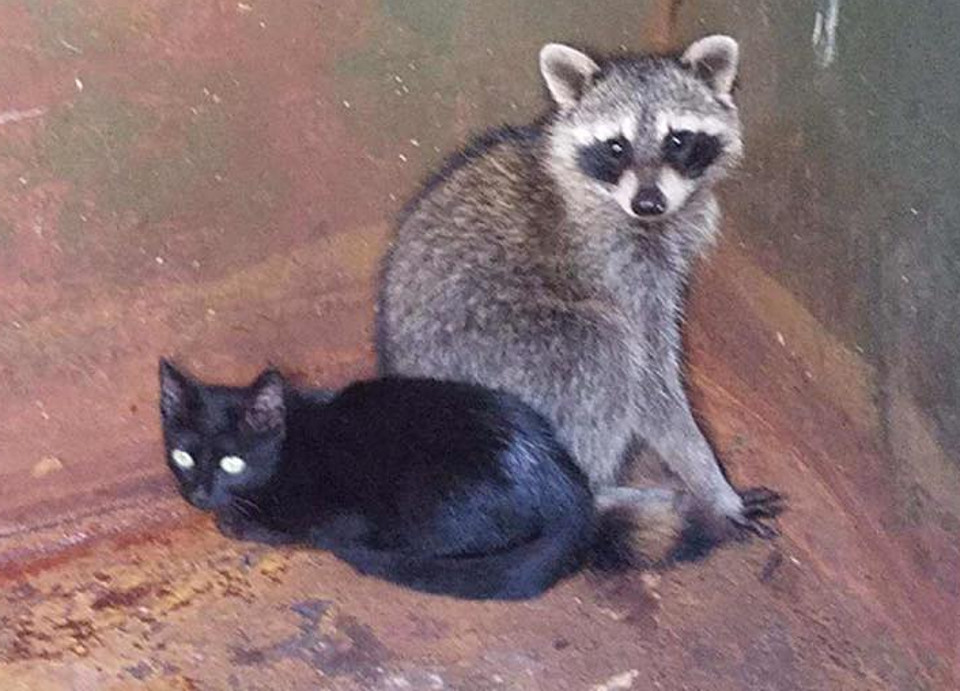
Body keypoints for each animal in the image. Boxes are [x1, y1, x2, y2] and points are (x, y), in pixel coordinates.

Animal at [158, 362, 636, 600]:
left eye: (232, 463)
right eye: (182, 456)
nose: (198, 493)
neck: (287, 448)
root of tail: (572, 488)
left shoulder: (342, 516)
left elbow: (293, 529)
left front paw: (239, 521)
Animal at [376, 35, 780, 560]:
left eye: (677, 140)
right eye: (616, 146)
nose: (648, 203)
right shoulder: (617, 265)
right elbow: (651, 384)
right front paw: (712, 481)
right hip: (508, 355)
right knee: (600, 348)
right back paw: (599, 492)